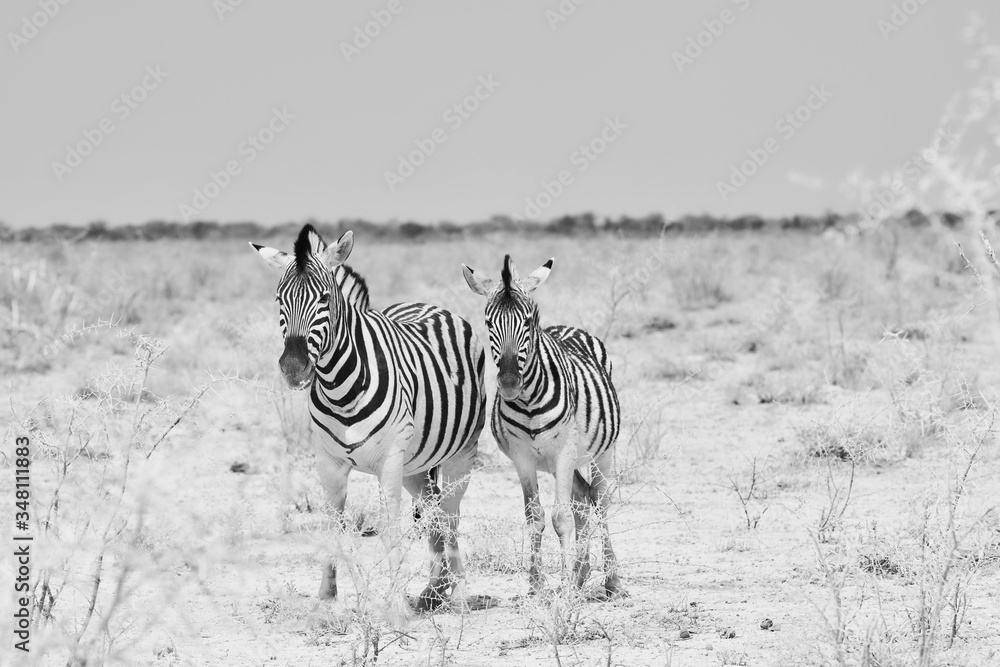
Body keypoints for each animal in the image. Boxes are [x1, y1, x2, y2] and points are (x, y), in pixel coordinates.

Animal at [250, 224, 487, 618]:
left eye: (325, 299)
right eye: (278, 300)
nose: (294, 368)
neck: (340, 387)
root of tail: (430, 306)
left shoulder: (388, 461)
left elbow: (390, 529)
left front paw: (394, 605)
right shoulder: (327, 462)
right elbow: (331, 527)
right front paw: (325, 600)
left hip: (459, 454)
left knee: (451, 514)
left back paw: (460, 595)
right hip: (415, 466)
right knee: (434, 511)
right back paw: (433, 591)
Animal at [461, 254, 626, 600]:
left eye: (528, 321)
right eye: (488, 323)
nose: (510, 383)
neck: (528, 404)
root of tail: (569, 327)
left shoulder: (563, 452)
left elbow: (560, 516)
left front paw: (563, 589)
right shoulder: (522, 458)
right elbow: (534, 516)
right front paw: (537, 583)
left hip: (601, 452)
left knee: (600, 501)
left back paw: (612, 580)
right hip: (557, 463)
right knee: (583, 498)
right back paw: (581, 573)